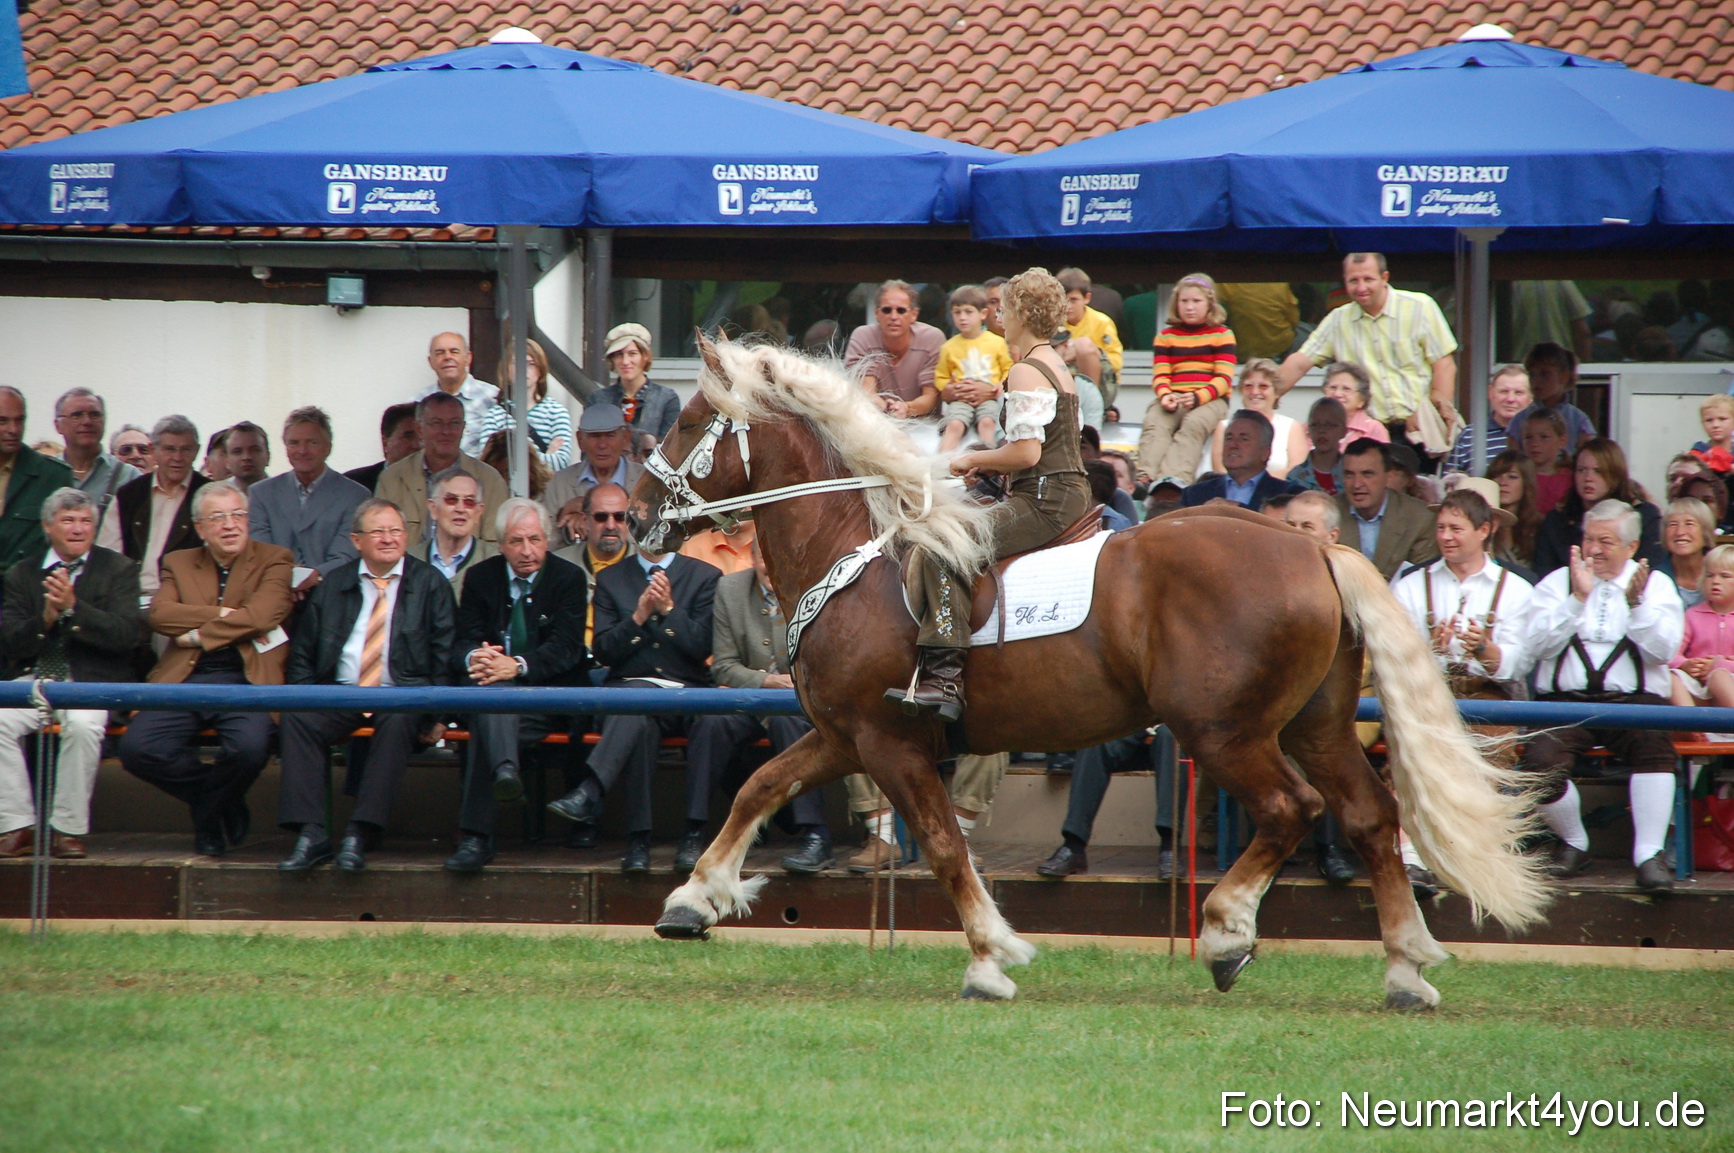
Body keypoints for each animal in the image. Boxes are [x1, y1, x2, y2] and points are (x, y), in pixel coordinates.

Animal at [631, 336, 1549, 1007]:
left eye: (688, 423)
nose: (636, 517)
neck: (852, 554)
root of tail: (1310, 545)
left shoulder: (890, 742)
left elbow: (942, 844)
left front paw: (990, 957)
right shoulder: (844, 734)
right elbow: (760, 787)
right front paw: (692, 900)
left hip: (1224, 730)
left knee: (1295, 809)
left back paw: (1228, 933)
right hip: (1314, 723)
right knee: (1367, 816)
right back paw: (1404, 968)